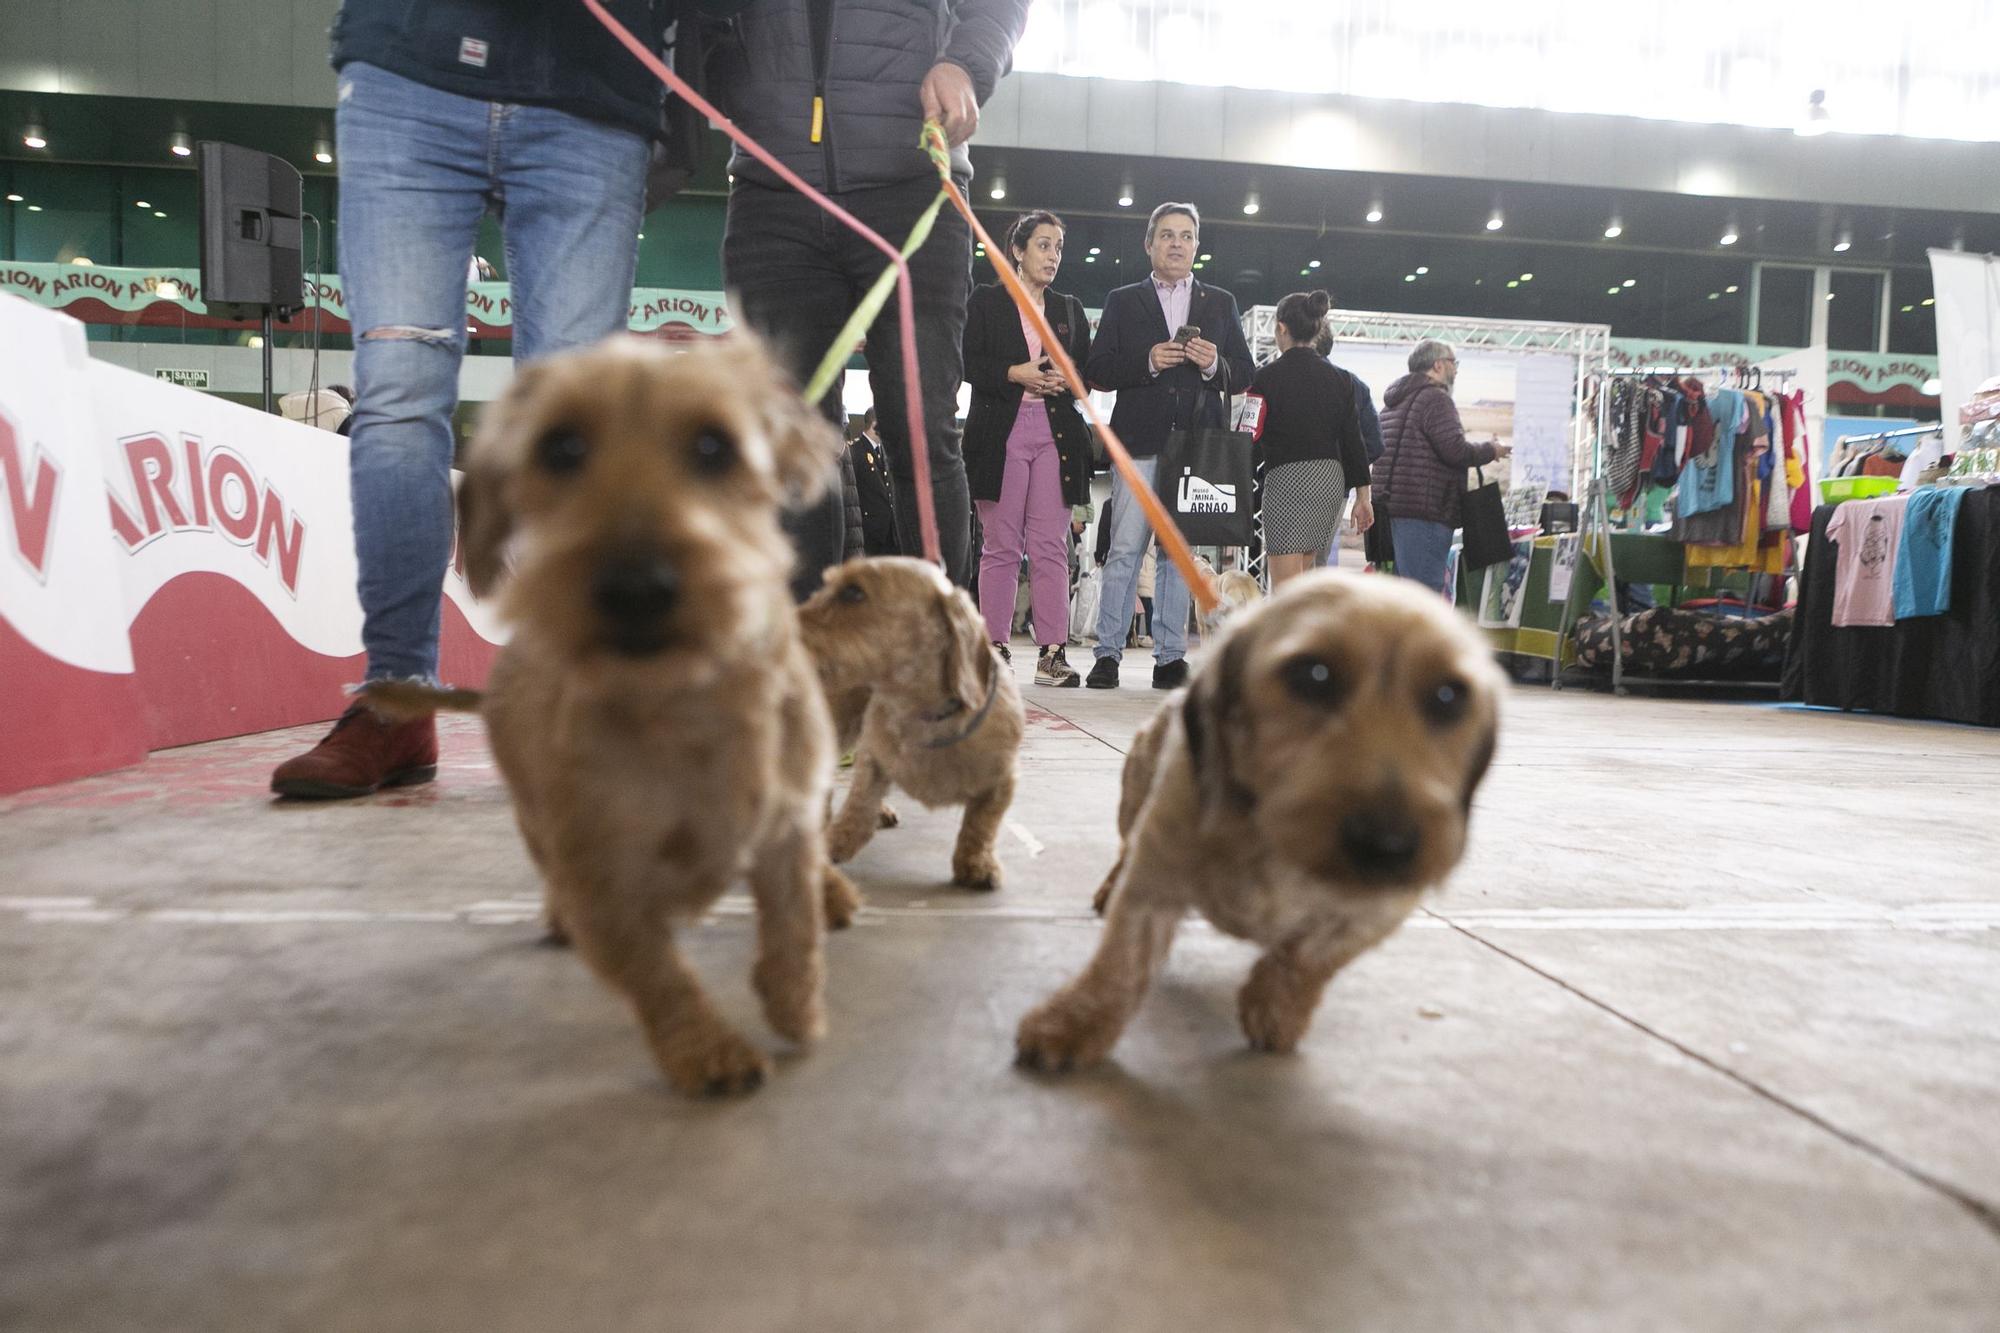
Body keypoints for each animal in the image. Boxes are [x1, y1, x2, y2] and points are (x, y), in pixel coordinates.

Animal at [372, 332, 856, 1088]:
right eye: (560, 447)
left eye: (714, 445)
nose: (635, 589)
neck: (684, 701)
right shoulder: (601, 877)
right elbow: (657, 974)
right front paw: (709, 1050)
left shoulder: (786, 834)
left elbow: (793, 927)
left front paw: (795, 1005)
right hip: (537, 821)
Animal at [796, 556, 1024, 888]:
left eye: (853, 592)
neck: (924, 713)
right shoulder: (872, 759)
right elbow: (860, 801)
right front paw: (836, 841)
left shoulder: (1002, 780)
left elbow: (982, 823)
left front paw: (976, 863)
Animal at [1016, 572, 1504, 1072]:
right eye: (1313, 674)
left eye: (1449, 696)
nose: (1387, 845)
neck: (1277, 840)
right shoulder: (1154, 878)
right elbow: (1122, 961)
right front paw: (1072, 1023)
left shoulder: (1374, 915)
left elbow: (1309, 957)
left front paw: (1274, 1010)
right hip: (1134, 800)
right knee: (1123, 850)